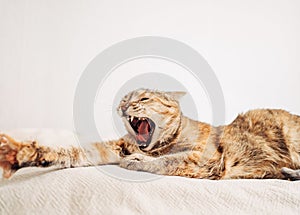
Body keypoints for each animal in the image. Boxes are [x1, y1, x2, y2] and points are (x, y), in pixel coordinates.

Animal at [0, 88, 300, 181]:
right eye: (124, 98)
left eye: (143, 98)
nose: (123, 105)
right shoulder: (111, 148)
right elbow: (69, 153)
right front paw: (21, 154)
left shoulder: (206, 159)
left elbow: (165, 162)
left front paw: (137, 161)